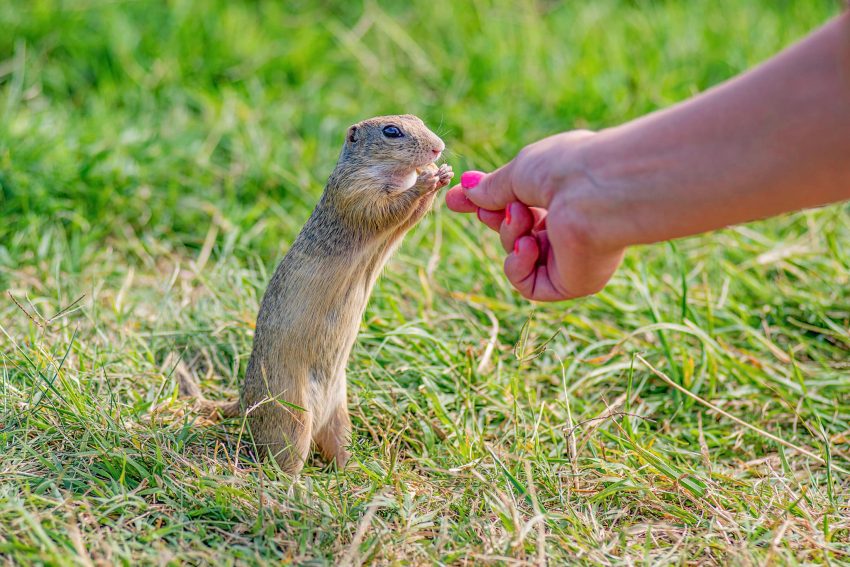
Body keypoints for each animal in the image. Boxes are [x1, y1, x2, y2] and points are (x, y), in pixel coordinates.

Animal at [181, 114, 450, 474]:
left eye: (418, 120)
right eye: (392, 131)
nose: (438, 147)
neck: (387, 174)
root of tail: (243, 401)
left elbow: (410, 216)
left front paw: (442, 174)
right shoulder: (354, 194)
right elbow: (389, 209)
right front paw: (427, 179)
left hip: (340, 418)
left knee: (337, 446)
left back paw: (352, 472)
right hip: (292, 419)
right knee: (282, 460)